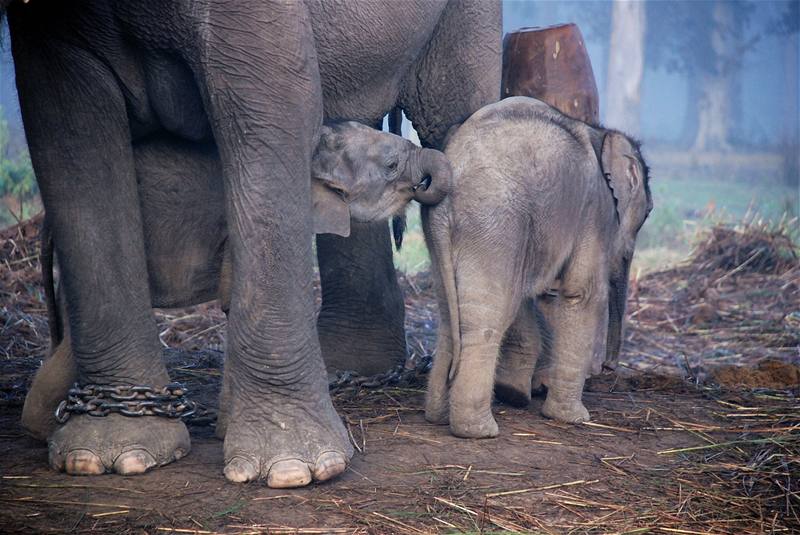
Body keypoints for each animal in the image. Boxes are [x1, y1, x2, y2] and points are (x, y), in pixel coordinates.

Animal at [424, 97, 648, 440]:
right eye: (647, 214)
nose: (609, 368)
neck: (602, 134)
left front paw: (517, 393)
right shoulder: (594, 212)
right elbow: (582, 294)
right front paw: (573, 418)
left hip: (446, 236)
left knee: (453, 317)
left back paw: (437, 416)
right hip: (494, 226)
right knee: (487, 318)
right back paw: (479, 431)